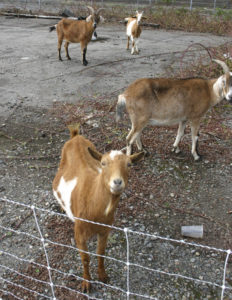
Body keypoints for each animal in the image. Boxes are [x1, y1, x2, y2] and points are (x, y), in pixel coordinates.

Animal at [52, 125, 143, 292]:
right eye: (103, 163)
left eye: (129, 164)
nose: (117, 182)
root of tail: (76, 136)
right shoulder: (79, 233)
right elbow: (85, 258)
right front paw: (86, 283)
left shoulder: (105, 230)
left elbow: (101, 253)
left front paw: (103, 276)